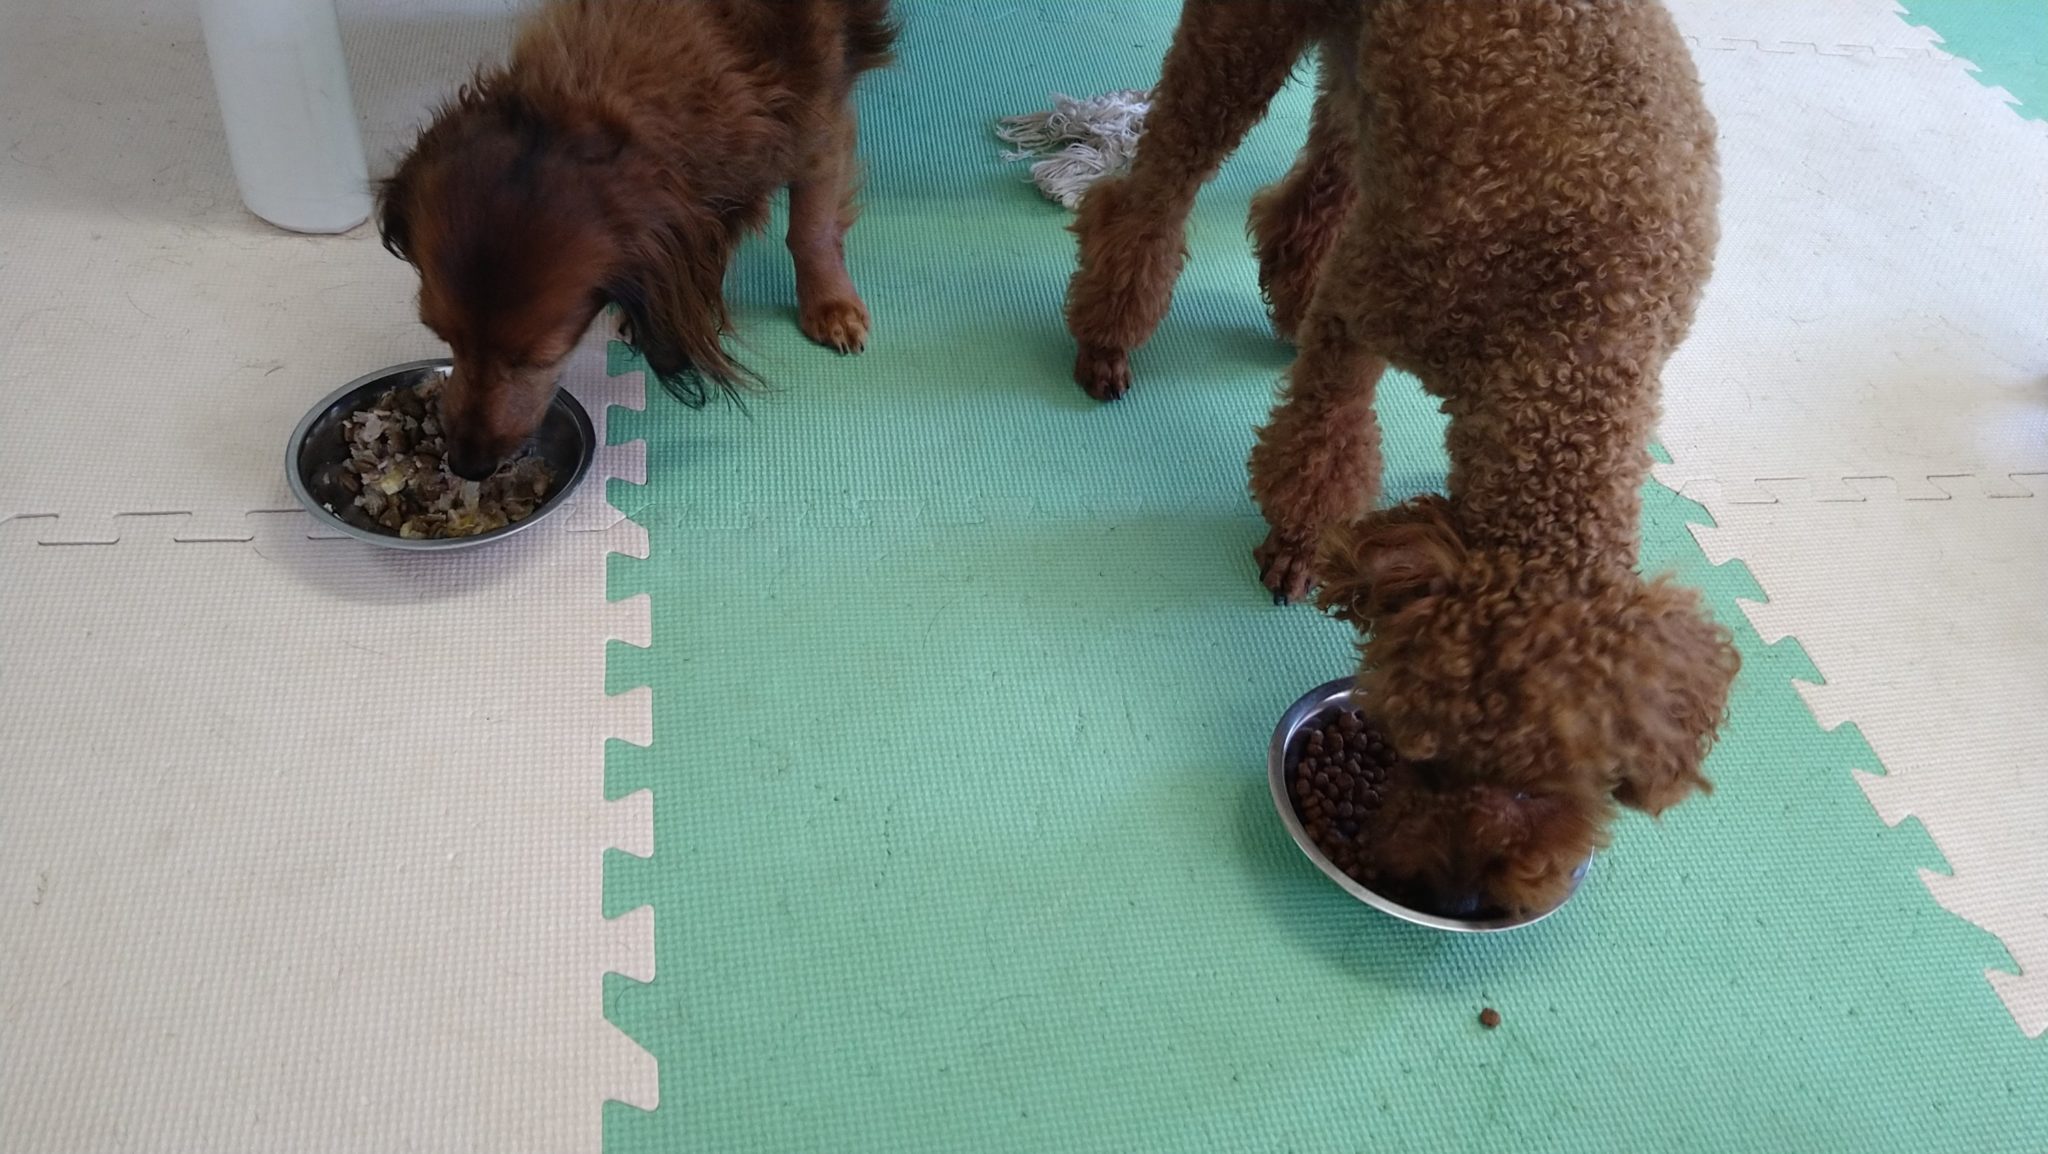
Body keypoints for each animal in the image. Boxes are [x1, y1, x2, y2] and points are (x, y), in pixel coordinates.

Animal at [377, 0, 896, 479]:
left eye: (537, 358)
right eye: (442, 336)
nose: (468, 465)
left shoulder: (818, 118)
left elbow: (810, 228)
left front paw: (830, 304)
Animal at [1064, 0, 1739, 915]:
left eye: (1551, 787)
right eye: (1418, 755)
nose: (1456, 896)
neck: (1570, 333)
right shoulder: (1361, 311)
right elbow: (1321, 446)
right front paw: (1296, 546)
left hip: (1369, 83)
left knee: (1326, 173)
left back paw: (1285, 292)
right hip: (1246, 38)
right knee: (1160, 178)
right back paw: (1108, 331)